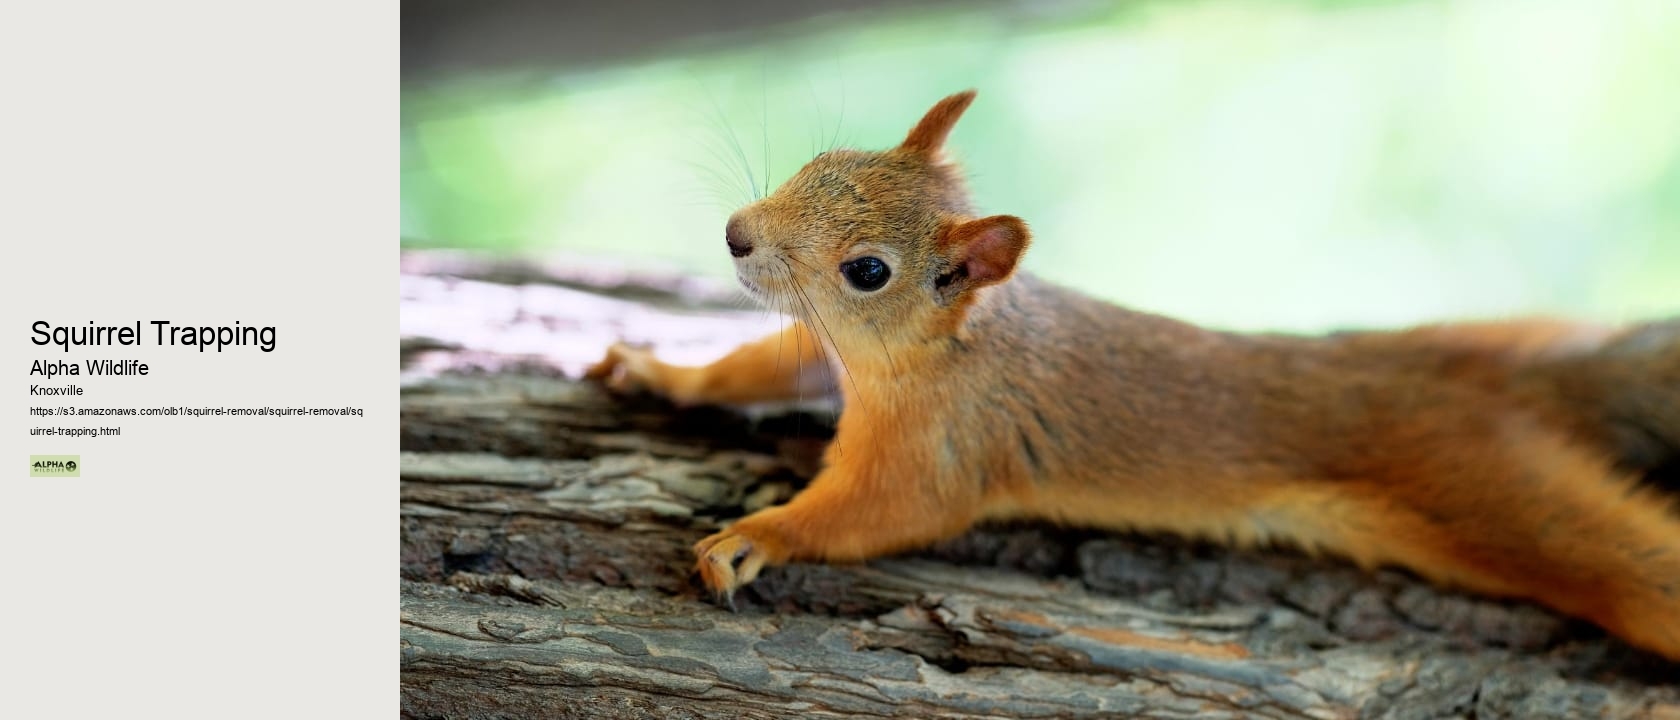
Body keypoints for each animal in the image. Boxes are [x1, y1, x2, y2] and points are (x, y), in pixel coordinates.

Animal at [585, 90, 1680, 660]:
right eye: (825, 158)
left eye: (868, 271)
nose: (737, 235)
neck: (945, 347)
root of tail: (1503, 393)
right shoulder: (825, 355)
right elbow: (753, 365)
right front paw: (659, 370)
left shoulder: (943, 444)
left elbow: (877, 511)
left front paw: (759, 536)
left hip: (1496, 494)